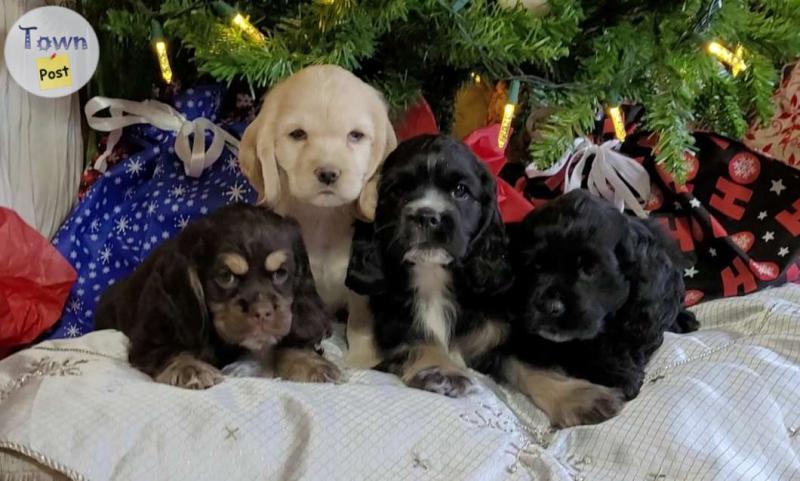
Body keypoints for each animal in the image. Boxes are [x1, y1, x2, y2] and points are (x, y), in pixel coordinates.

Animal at [97, 202, 338, 386]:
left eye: (280, 273)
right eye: (226, 276)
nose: (262, 312)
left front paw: (311, 363)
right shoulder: (149, 338)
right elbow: (171, 352)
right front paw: (191, 369)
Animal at [346, 134, 620, 424]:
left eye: (460, 190)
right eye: (398, 190)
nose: (427, 216)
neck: (433, 276)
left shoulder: (494, 337)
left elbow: (526, 363)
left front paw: (580, 397)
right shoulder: (393, 326)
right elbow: (418, 340)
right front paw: (442, 370)